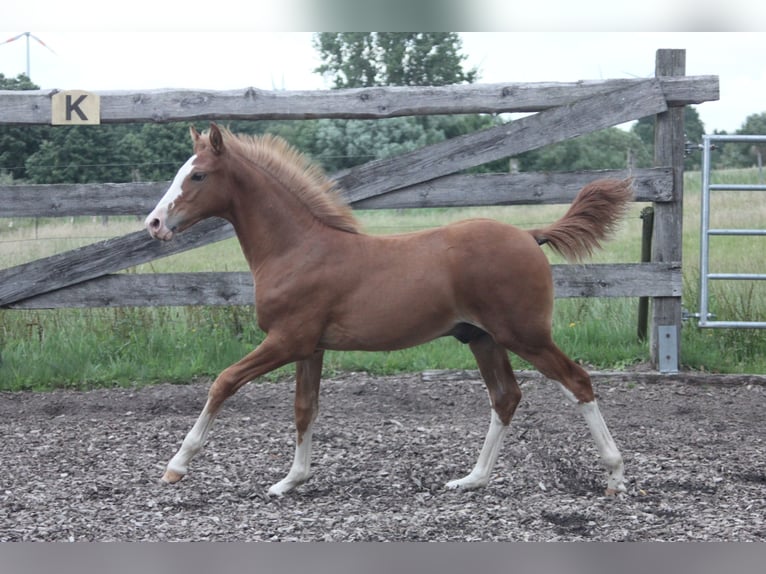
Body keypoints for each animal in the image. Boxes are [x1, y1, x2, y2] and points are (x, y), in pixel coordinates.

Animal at [145, 123, 631, 497]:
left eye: (198, 175)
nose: (154, 223)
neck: (297, 248)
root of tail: (530, 235)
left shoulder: (287, 340)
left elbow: (223, 382)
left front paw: (177, 465)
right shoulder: (310, 348)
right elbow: (305, 407)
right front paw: (290, 481)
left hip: (524, 334)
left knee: (577, 381)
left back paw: (615, 476)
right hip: (482, 338)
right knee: (506, 396)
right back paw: (471, 479)